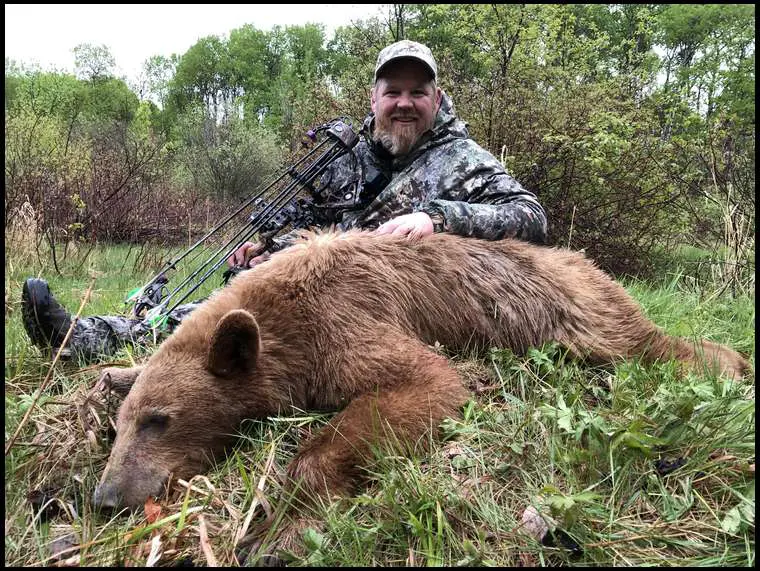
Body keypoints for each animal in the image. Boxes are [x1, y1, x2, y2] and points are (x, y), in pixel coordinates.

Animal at [91, 229, 750, 560]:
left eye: (159, 419)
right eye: (120, 425)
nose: (107, 497)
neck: (283, 323)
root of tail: (582, 260)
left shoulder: (346, 318)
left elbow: (427, 382)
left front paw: (280, 529)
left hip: (578, 313)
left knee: (650, 346)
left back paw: (732, 362)